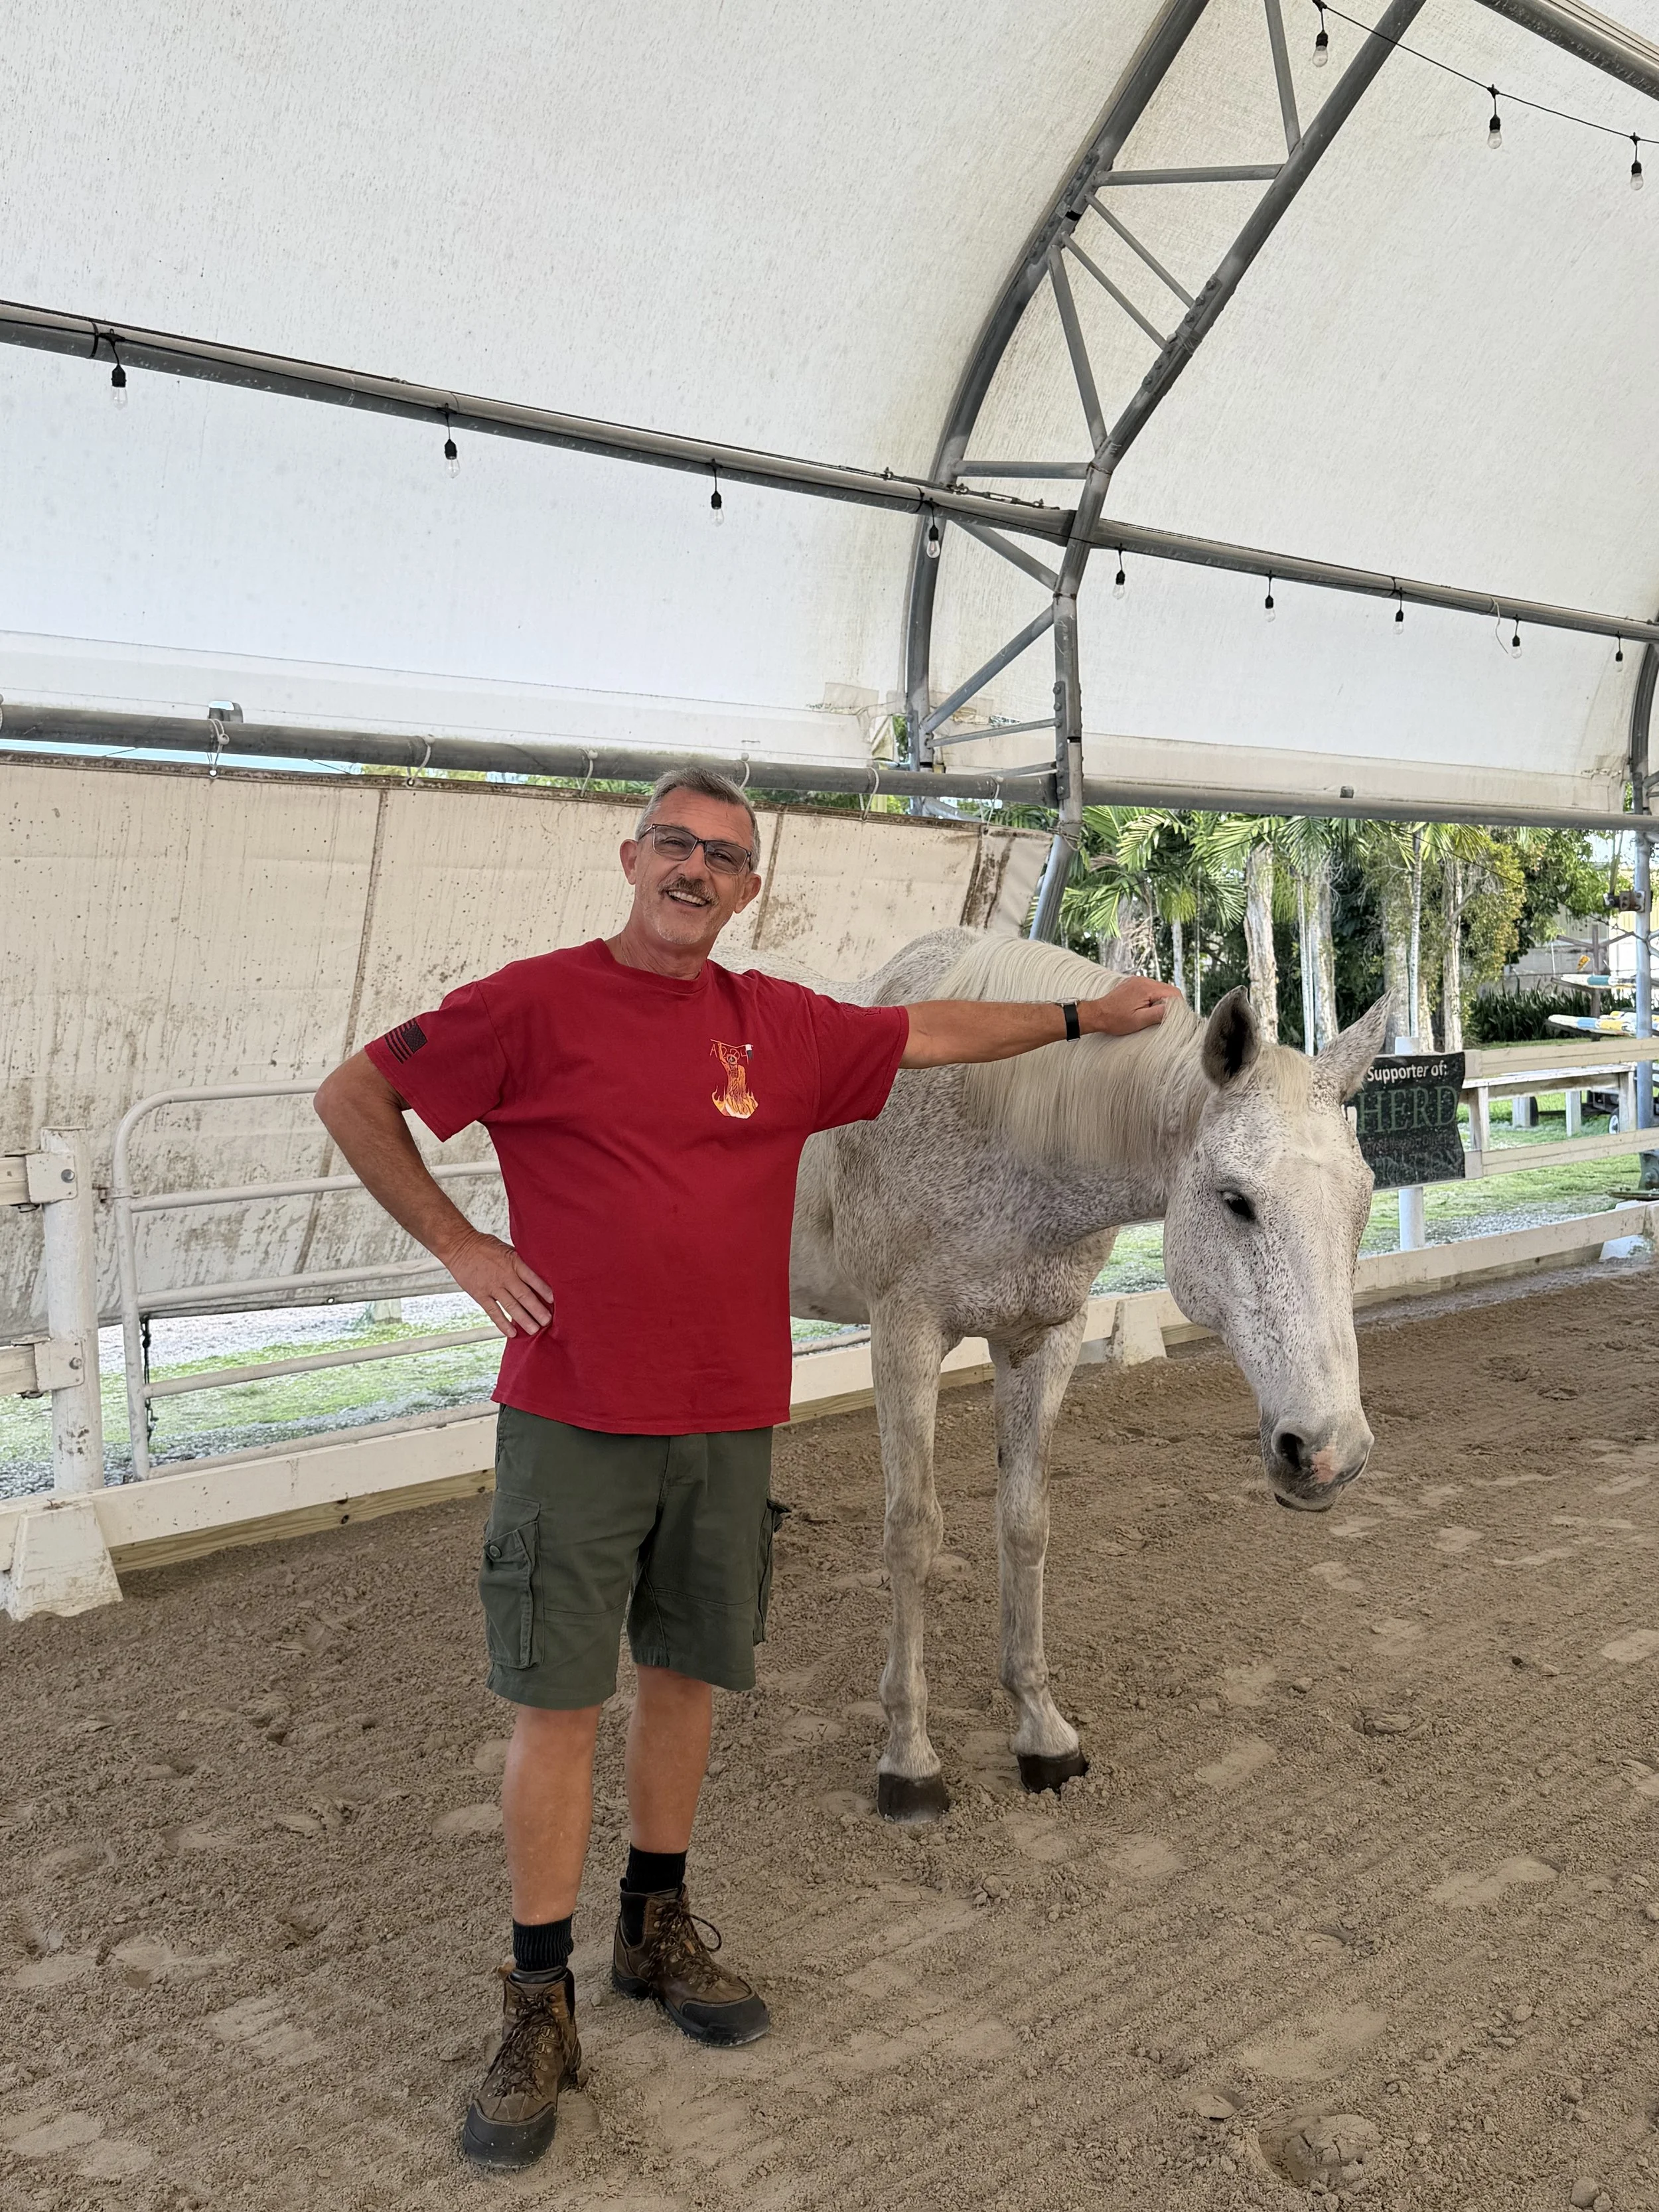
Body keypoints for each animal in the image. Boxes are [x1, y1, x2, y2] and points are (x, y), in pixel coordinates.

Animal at [778, 927, 1390, 1822]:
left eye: (1363, 1200)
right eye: (1235, 1200)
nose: (1327, 1451)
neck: (996, 1119)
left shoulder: (1045, 1340)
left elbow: (1025, 1524)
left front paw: (1042, 1732)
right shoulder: (903, 1336)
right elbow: (911, 1534)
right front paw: (908, 1758)